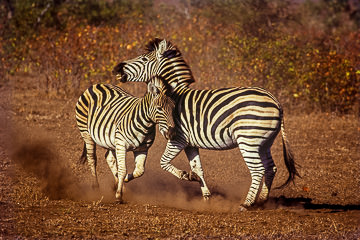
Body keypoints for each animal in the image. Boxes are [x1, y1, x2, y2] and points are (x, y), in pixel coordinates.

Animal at [113, 38, 300, 209]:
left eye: (144, 59)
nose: (116, 69)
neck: (173, 94)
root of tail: (275, 101)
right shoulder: (190, 144)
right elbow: (198, 168)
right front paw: (206, 197)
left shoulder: (177, 138)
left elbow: (163, 162)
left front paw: (186, 176)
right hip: (264, 142)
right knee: (270, 168)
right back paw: (262, 200)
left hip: (248, 139)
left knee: (258, 170)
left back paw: (246, 204)